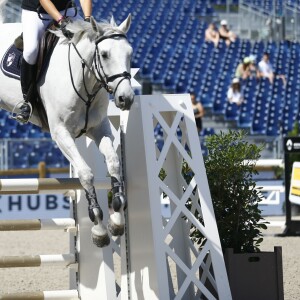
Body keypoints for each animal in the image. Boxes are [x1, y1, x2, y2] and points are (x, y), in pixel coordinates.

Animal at [0, 14, 134, 248]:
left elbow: (114, 163)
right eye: (105, 54)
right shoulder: (61, 134)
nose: (126, 99)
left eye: (130, 53)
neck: (85, 79)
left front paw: (117, 220)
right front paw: (98, 229)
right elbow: (86, 174)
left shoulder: (99, 128)